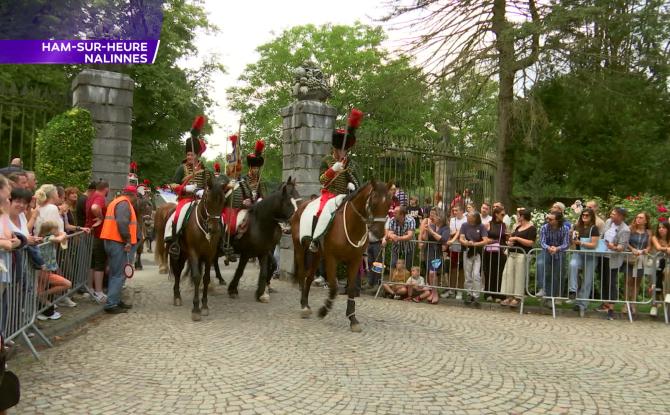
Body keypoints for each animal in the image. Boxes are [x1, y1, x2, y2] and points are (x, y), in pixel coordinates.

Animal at [290, 180, 394, 334]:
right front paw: (324, 310)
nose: (378, 234)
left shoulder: (355, 261)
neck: (351, 225)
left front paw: (353, 319)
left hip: (317, 254)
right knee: (303, 274)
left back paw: (307, 305)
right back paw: (303, 306)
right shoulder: (331, 259)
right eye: (374, 202)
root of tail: (300, 207)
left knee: (309, 276)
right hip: (300, 249)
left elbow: (351, 288)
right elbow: (334, 287)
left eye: (389, 203)